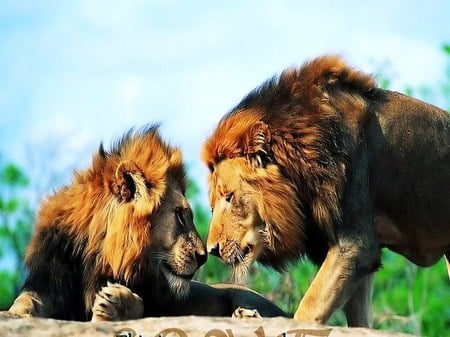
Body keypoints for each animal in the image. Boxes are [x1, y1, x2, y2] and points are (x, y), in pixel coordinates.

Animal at [8, 124, 284, 318]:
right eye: (180, 215)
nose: (203, 257)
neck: (96, 260)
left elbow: (139, 304)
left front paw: (116, 305)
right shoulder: (48, 283)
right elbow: (26, 300)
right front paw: (16, 314)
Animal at [204, 54, 450, 326]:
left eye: (229, 197)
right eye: (213, 206)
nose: (212, 250)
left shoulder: (355, 246)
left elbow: (308, 309)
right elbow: (357, 318)